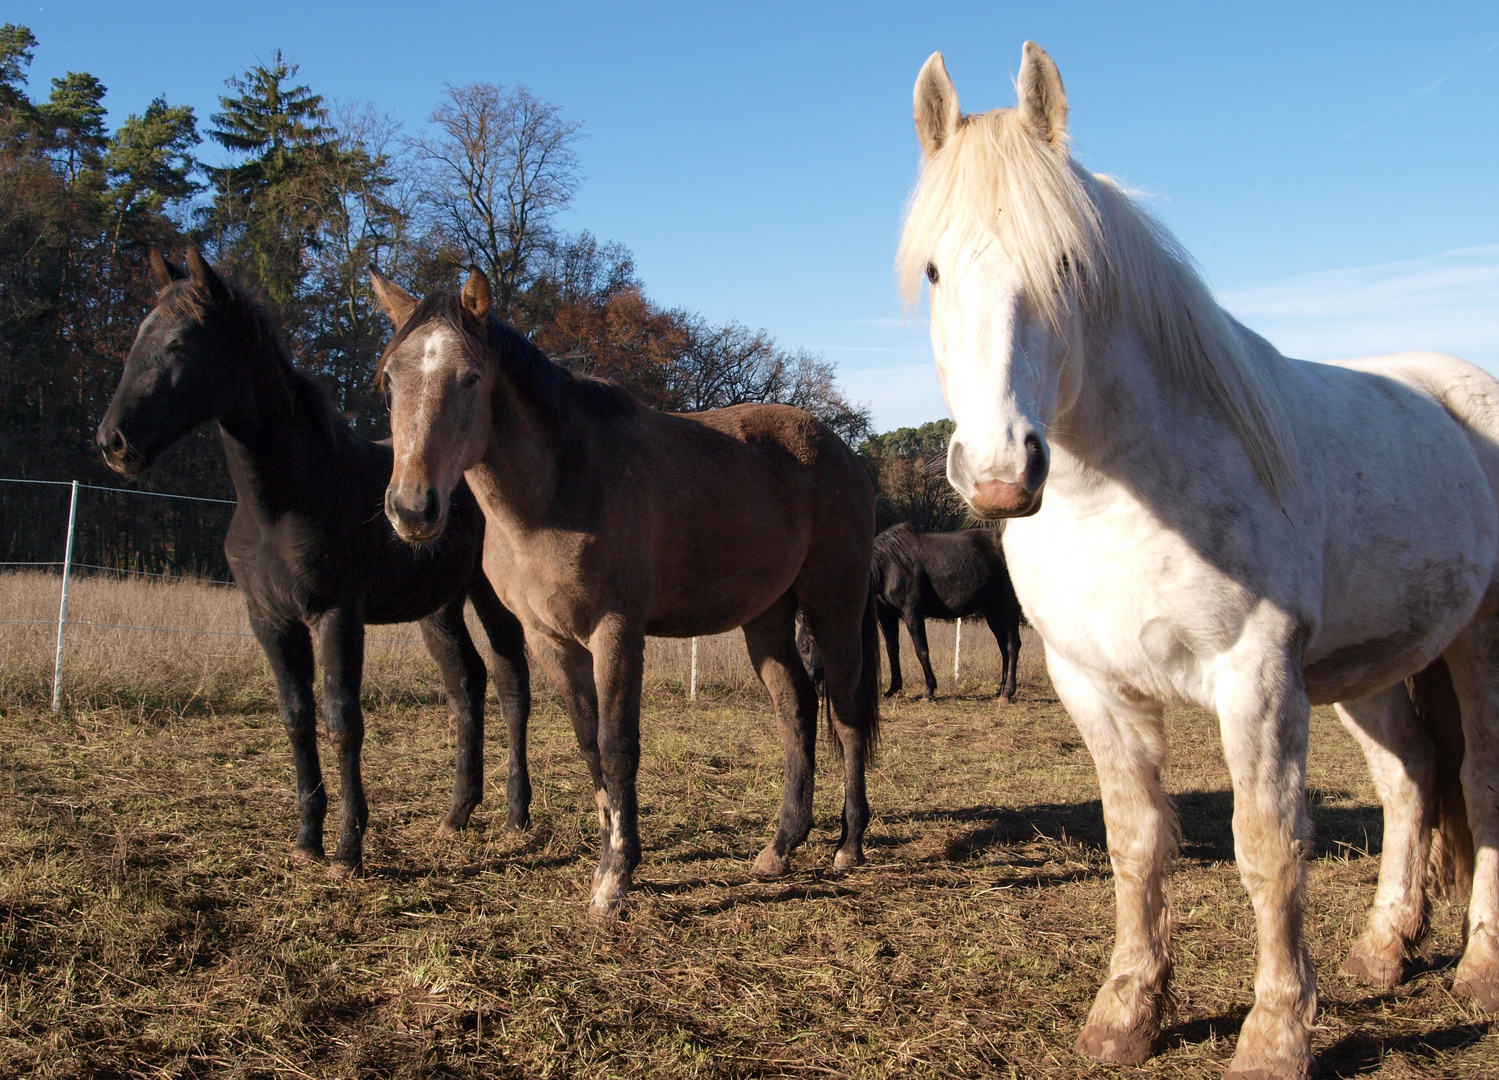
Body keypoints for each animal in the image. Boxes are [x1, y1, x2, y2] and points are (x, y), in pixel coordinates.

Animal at [98, 249, 533, 876]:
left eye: (180, 343)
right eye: (138, 335)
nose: (113, 442)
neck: (282, 503)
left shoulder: (335, 615)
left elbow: (342, 721)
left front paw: (348, 849)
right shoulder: (271, 621)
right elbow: (297, 718)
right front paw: (307, 838)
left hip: (489, 596)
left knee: (509, 681)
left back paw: (517, 815)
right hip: (438, 605)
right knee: (465, 684)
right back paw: (457, 814)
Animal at [875, 522, 1025, 699]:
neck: (889, 566)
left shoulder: (912, 612)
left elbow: (921, 649)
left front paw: (929, 689)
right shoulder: (885, 615)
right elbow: (892, 649)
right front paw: (893, 689)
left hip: (1008, 605)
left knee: (1012, 645)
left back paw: (1008, 692)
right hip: (993, 610)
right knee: (1003, 646)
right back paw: (1000, 691)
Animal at [893, 42, 1499, 1080]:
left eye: (1067, 263)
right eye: (933, 270)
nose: (1002, 472)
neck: (1123, 492)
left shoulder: (1256, 679)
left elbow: (1268, 847)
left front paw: (1274, 1036)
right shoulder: (1091, 683)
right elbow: (1136, 842)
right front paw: (1125, 1015)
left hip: (1479, 646)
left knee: (1481, 782)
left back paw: (1479, 972)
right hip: (1372, 668)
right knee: (1411, 778)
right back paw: (1383, 951)